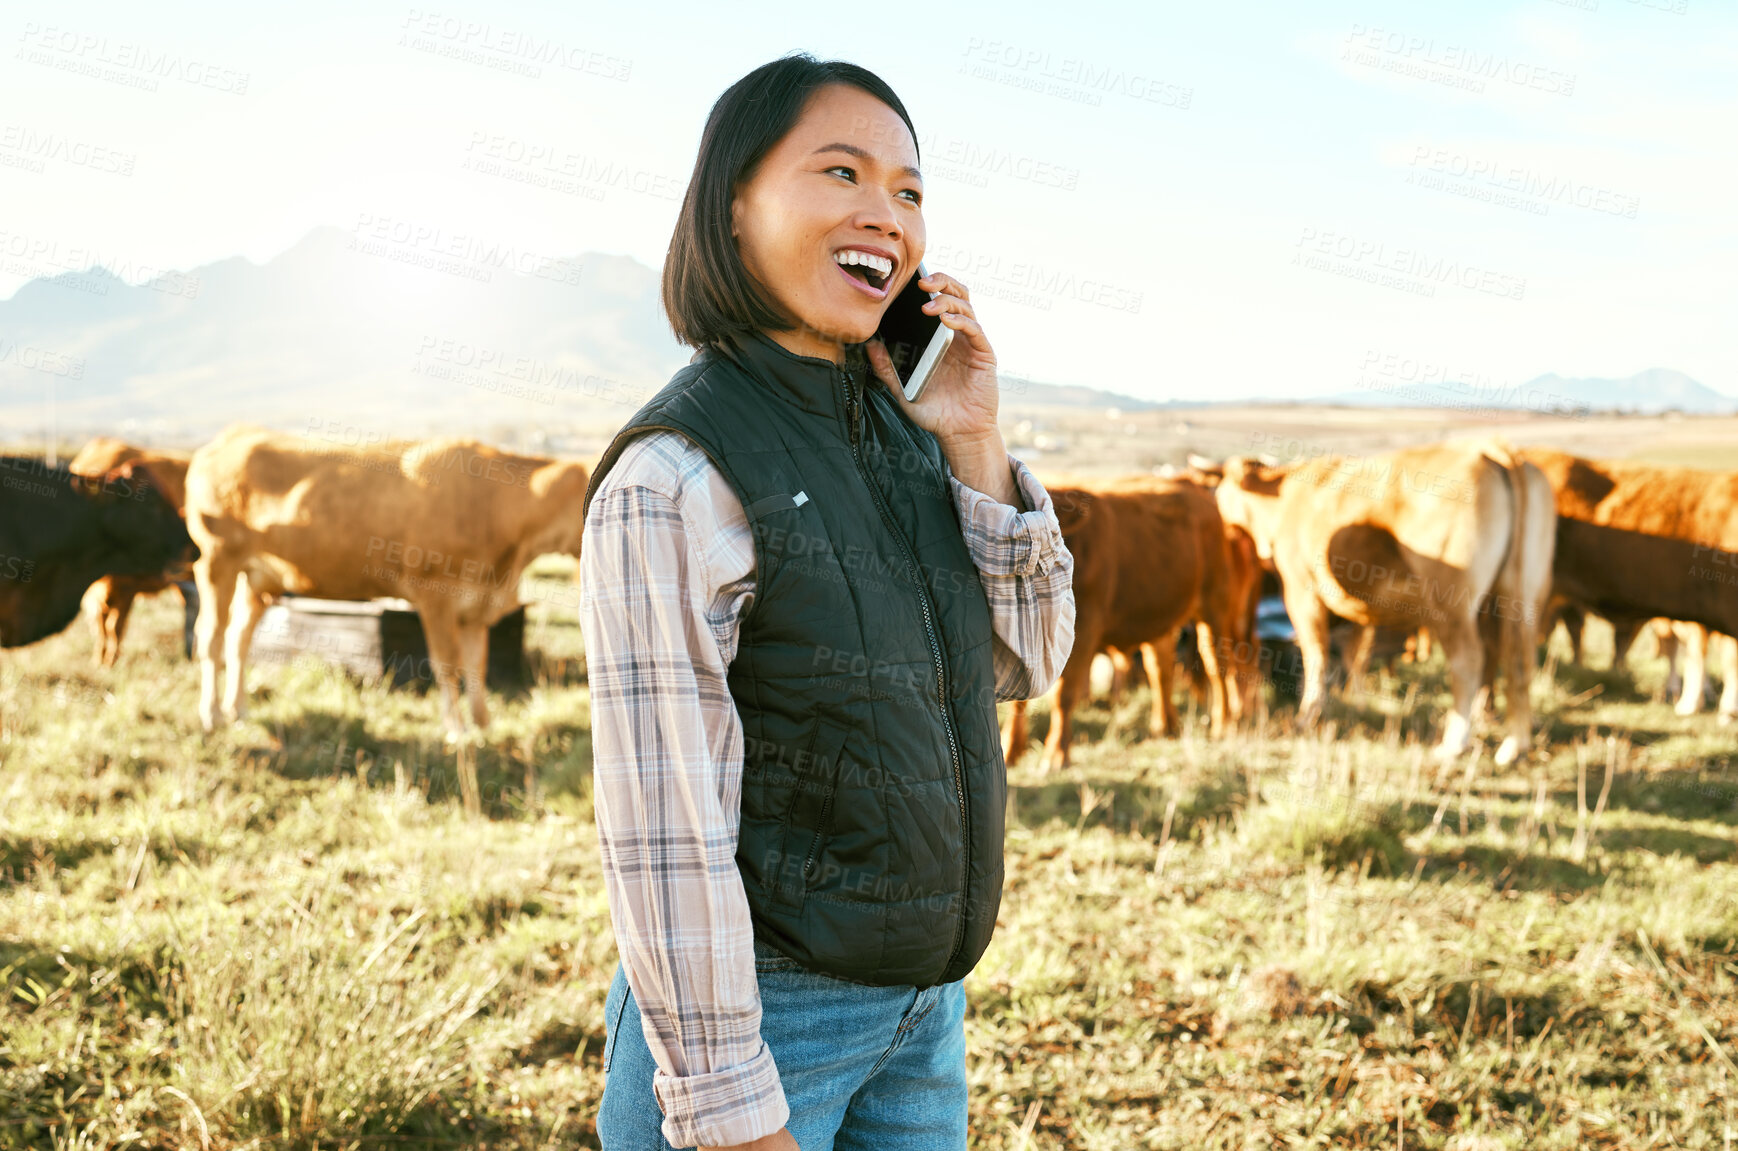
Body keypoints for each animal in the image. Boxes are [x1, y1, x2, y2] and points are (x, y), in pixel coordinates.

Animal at [68, 439, 195, 667]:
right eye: (151, 501)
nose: (190, 545)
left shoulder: (128, 587)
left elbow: (115, 626)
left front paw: (111, 661)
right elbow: (100, 624)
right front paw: (98, 659)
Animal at [187, 424, 587, 740]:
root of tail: (232, 435)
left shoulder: (476, 608)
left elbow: (477, 666)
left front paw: (484, 725)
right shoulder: (434, 596)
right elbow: (447, 663)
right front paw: (457, 730)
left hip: (259, 578)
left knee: (238, 638)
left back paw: (238, 710)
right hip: (216, 561)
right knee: (210, 638)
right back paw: (211, 715)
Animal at [1001, 476, 1244, 775]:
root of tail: (1190, 483)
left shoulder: (1084, 633)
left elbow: (1064, 695)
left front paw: (1056, 755)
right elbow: (1019, 698)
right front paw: (1011, 750)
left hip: (1214, 606)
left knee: (1216, 666)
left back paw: (1223, 725)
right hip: (1159, 611)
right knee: (1161, 669)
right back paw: (1164, 726)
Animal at [1216, 443, 1557, 765]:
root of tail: (1499, 452)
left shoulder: (1301, 592)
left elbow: (1316, 656)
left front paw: (1307, 716)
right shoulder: (1356, 608)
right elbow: (1356, 654)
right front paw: (1355, 702)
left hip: (1450, 601)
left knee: (1468, 659)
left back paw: (1454, 743)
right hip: (1520, 595)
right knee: (1519, 661)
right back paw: (1515, 745)